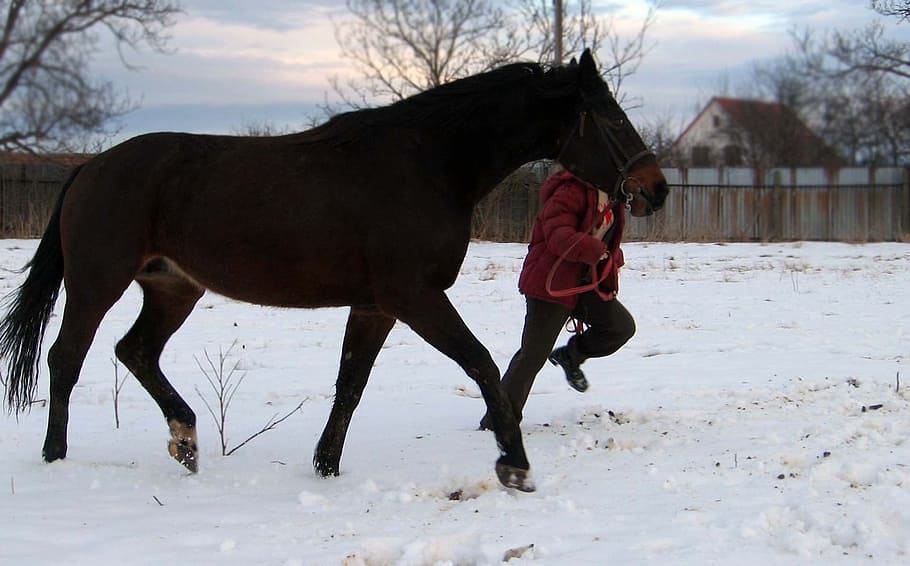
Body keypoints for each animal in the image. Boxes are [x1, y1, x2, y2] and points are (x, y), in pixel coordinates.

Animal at [0, 49, 667, 492]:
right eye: (610, 118)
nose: (654, 189)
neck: (431, 164)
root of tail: (88, 168)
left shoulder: (375, 304)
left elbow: (351, 382)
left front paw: (326, 465)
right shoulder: (414, 296)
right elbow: (480, 363)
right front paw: (514, 464)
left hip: (172, 287)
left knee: (135, 350)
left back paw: (185, 440)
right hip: (97, 283)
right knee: (67, 358)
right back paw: (56, 457)